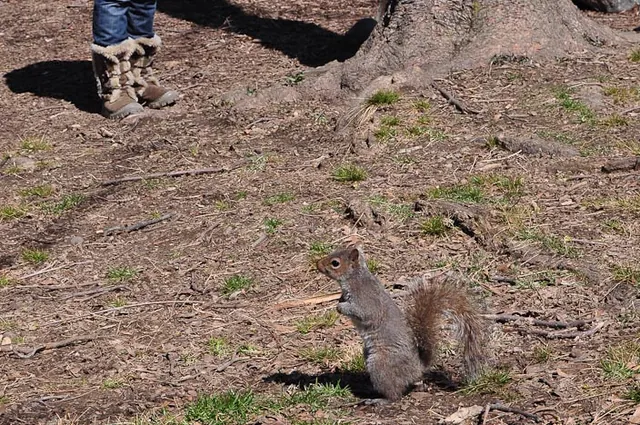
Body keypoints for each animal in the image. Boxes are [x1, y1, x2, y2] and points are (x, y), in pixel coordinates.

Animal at [316, 246, 486, 401]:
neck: (355, 278)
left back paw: (379, 399)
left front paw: (340, 307)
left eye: (335, 263)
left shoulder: (366, 301)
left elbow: (363, 313)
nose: (317, 264)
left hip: (381, 365)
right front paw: (339, 300)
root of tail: (418, 368)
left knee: (394, 394)